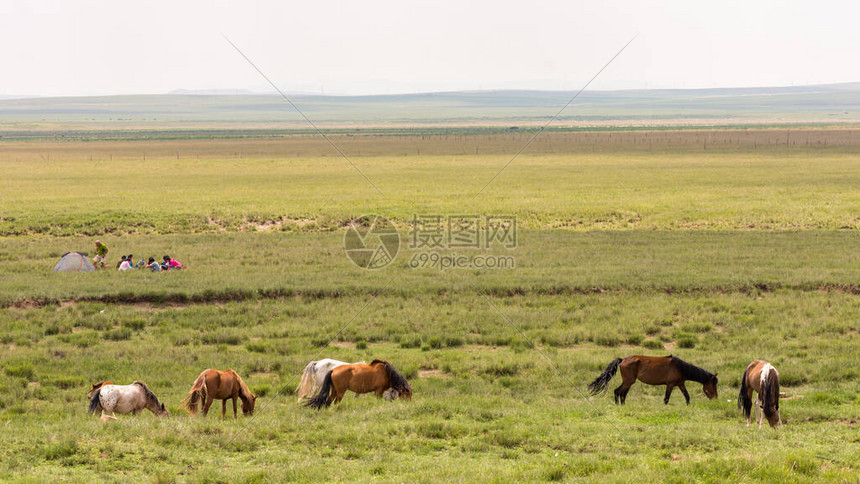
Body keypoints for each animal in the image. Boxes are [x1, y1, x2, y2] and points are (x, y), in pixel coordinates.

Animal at [588, 356, 716, 404]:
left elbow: (687, 396)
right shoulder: (670, 385)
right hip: (628, 381)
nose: (715, 398)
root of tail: (623, 359)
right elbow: (666, 399)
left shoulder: (680, 384)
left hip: (628, 382)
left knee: (622, 394)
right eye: (713, 384)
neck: (680, 367)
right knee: (617, 392)